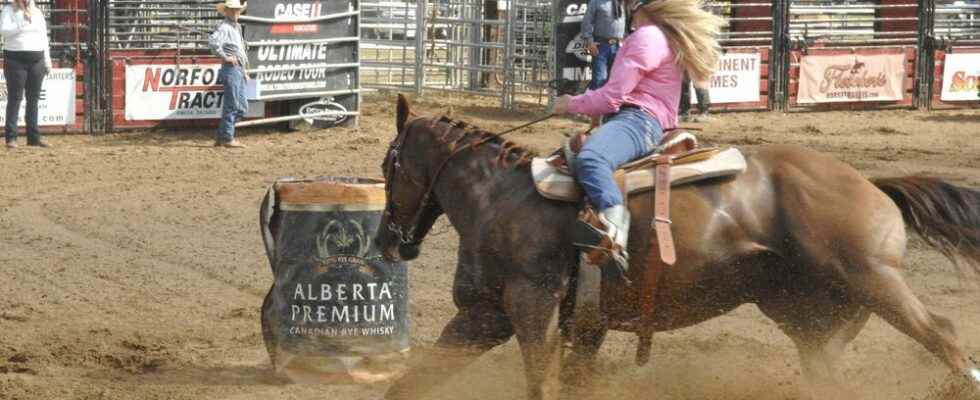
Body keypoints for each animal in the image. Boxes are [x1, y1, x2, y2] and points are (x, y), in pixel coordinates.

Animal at [376, 95, 980, 398]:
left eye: (390, 164)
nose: (387, 242)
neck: (501, 199)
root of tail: (873, 185)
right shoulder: (486, 318)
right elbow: (410, 384)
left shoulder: (532, 312)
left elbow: (539, 384)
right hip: (810, 316)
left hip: (873, 278)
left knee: (943, 335)